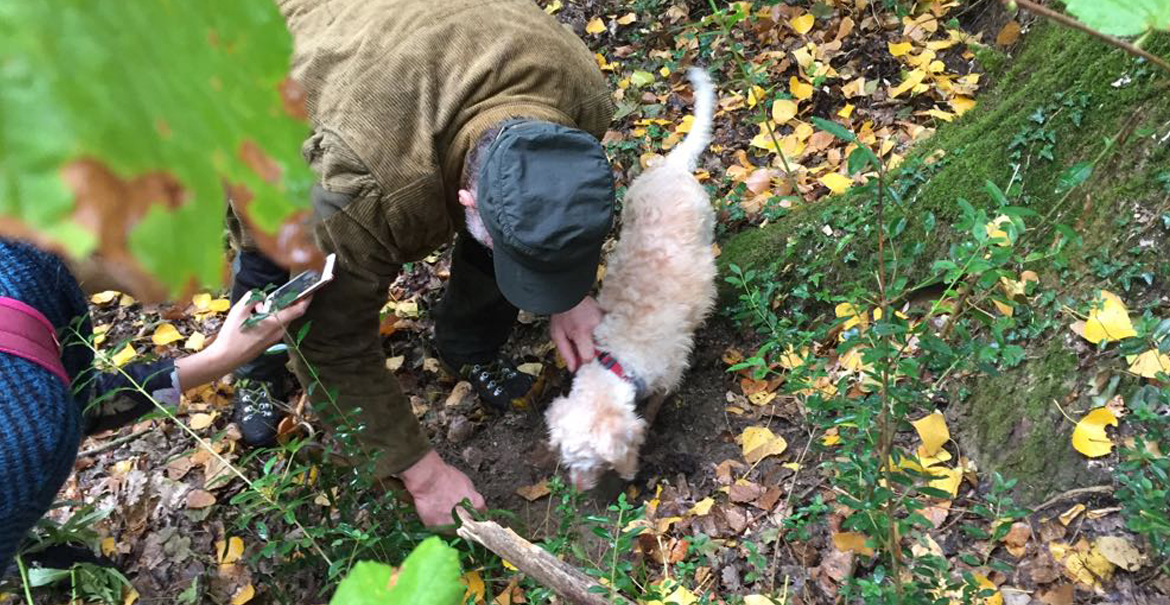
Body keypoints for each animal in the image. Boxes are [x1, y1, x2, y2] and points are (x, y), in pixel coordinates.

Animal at [545, 67, 716, 491]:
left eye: (591, 462)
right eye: (568, 460)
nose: (578, 490)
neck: (617, 357)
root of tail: (672, 166)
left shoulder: (670, 371)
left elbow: (654, 404)